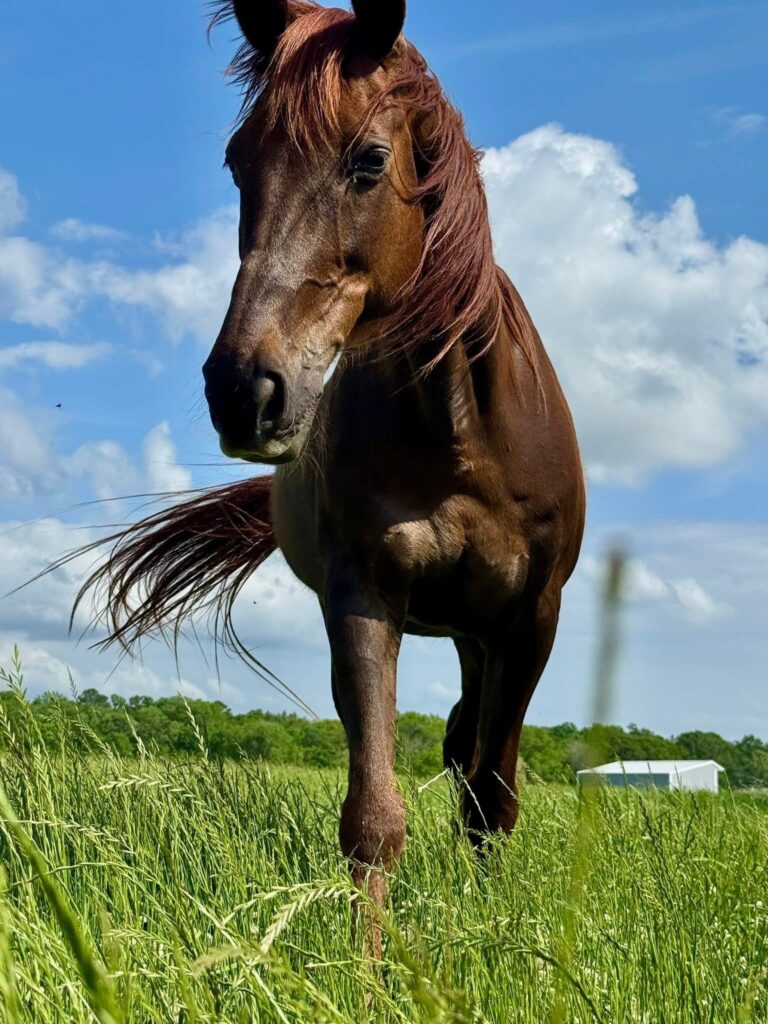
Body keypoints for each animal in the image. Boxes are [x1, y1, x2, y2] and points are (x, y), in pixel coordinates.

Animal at [72, 0, 585, 905]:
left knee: (473, 757)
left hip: (483, 636)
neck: (462, 436)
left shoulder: (531, 619)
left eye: (370, 160)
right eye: (239, 162)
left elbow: (493, 798)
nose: (243, 390)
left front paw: (496, 925)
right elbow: (374, 819)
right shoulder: (364, 594)